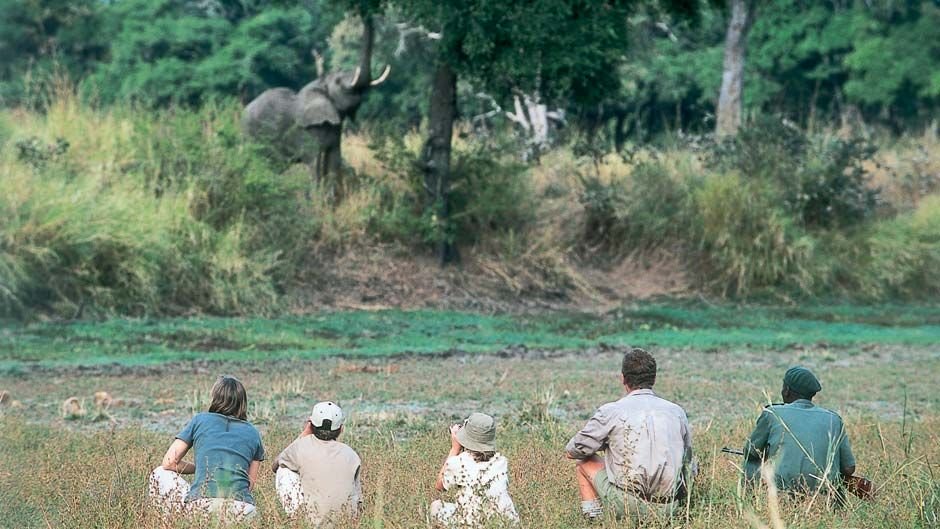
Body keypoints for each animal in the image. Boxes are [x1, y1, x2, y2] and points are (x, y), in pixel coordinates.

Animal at [244, 17, 392, 200]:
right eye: (338, 81)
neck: (320, 86)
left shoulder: (335, 130)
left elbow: (334, 160)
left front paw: (333, 201)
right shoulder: (306, 130)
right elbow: (314, 161)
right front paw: (318, 202)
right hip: (252, 134)